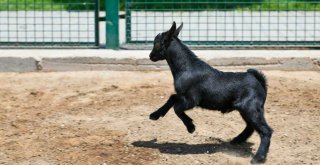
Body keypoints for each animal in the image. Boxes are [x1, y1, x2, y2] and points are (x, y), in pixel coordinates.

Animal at [149, 21, 272, 164]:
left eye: (157, 44)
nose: (150, 56)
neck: (186, 67)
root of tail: (259, 80)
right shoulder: (182, 96)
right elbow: (172, 98)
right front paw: (155, 115)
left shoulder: (191, 100)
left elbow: (177, 108)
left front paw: (191, 127)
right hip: (246, 108)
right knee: (250, 126)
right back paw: (237, 140)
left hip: (250, 107)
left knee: (265, 131)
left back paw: (258, 157)